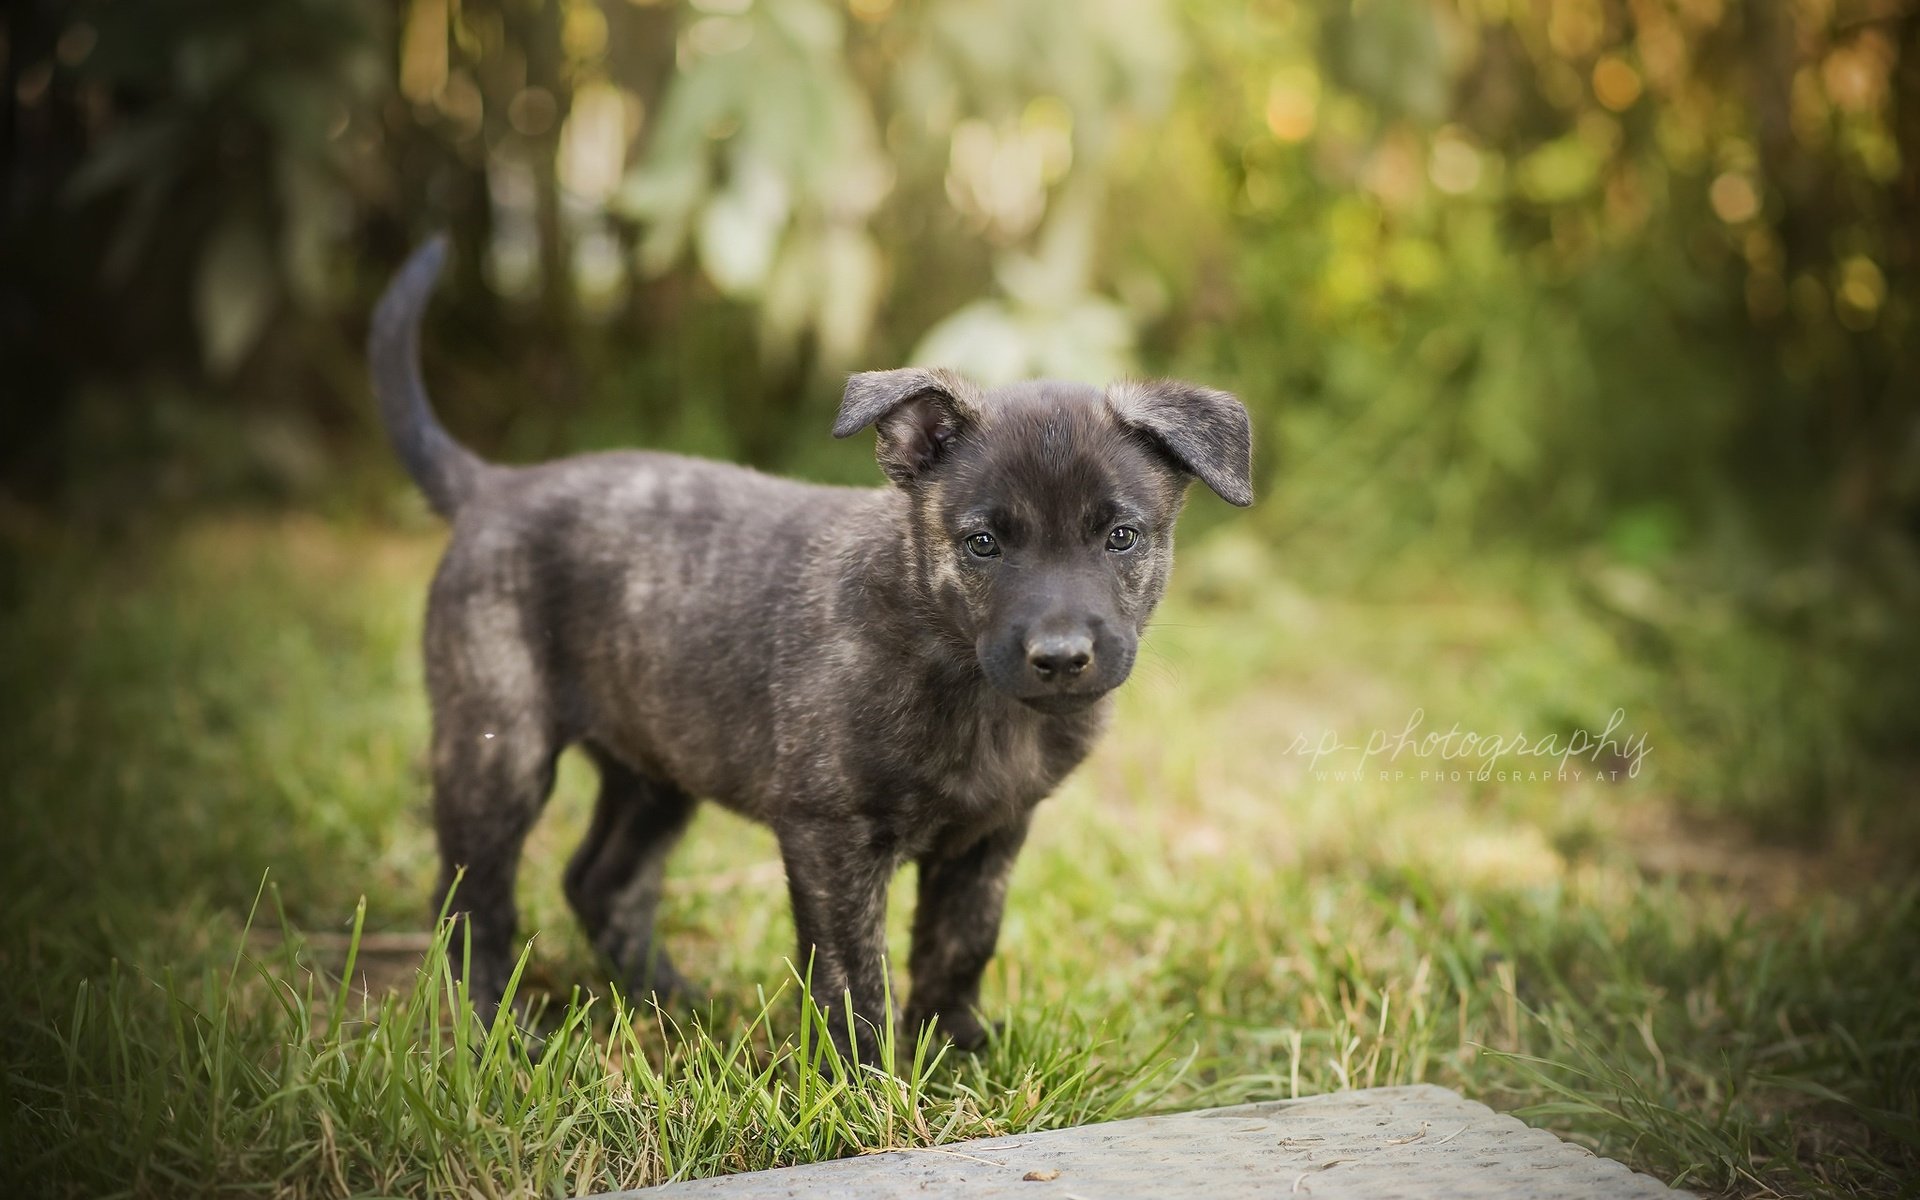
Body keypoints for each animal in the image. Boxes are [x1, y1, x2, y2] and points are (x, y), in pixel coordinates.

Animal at [366, 236, 1251, 1059]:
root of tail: (494, 487)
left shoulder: (991, 836)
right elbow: (851, 973)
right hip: (498, 748)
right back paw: (495, 1030)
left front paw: (956, 1048)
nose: (1061, 656)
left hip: (655, 766)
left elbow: (962, 942)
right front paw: (864, 1082)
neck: (960, 669)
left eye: (1121, 536)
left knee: (600, 881)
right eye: (984, 543)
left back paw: (673, 1003)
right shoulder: (831, 832)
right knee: (472, 903)